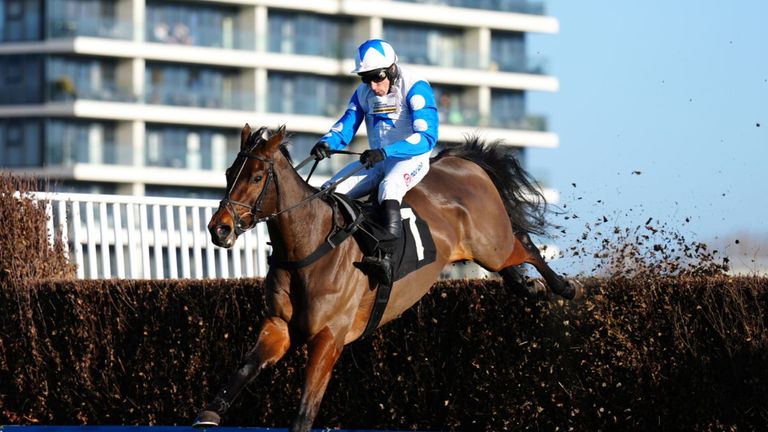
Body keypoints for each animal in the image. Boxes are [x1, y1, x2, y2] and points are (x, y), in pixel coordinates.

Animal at [194, 123, 584, 430]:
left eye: (257, 177)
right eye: (229, 173)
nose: (219, 228)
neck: (308, 247)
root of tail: (459, 161)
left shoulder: (329, 337)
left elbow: (305, 413)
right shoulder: (279, 325)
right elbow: (245, 367)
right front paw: (209, 413)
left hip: (492, 244)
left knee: (525, 245)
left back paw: (564, 287)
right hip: (485, 251)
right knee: (514, 261)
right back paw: (529, 287)